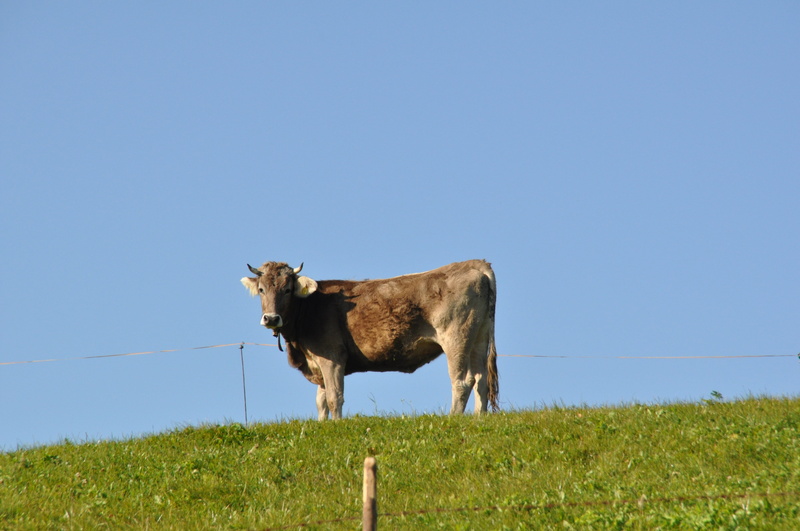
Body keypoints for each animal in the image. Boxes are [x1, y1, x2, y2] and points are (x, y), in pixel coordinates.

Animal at [241, 260, 499, 420]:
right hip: (479, 336)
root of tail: (472, 263)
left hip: (456, 337)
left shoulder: (332, 357)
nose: (271, 318)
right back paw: (479, 417)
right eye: (262, 290)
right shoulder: (318, 362)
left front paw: (336, 425)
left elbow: (334, 397)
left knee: (462, 381)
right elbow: (321, 400)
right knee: (481, 380)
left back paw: (453, 417)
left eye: (287, 289)